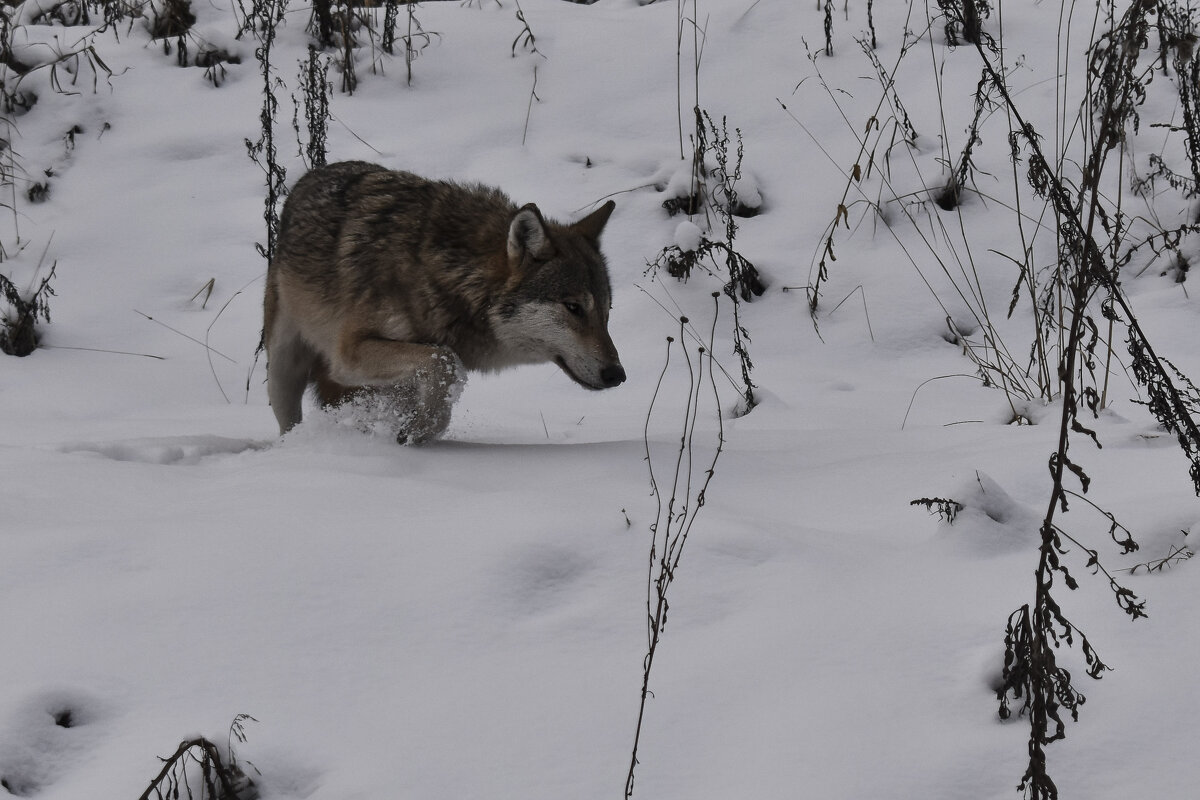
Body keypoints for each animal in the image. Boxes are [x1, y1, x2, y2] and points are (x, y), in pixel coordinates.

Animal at [264, 158, 628, 441]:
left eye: (606, 313)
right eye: (574, 308)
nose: (617, 375)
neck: (445, 272)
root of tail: (312, 175)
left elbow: (443, 371)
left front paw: (421, 428)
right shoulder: (347, 356)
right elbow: (445, 359)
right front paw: (422, 428)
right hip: (283, 367)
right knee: (287, 424)